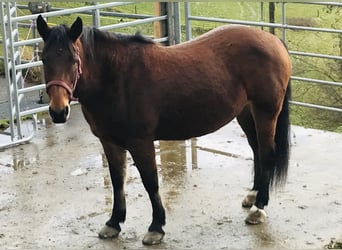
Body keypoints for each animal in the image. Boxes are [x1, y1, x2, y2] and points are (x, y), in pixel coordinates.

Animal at [36, 16, 292, 246]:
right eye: (44, 59)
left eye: (73, 60)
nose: (58, 112)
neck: (117, 78)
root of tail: (273, 40)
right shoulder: (110, 142)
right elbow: (117, 180)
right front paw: (114, 223)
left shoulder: (141, 142)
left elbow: (151, 182)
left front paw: (156, 227)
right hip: (246, 113)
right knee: (256, 150)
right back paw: (253, 195)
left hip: (266, 113)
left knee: (267, 153)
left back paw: (259, 208)